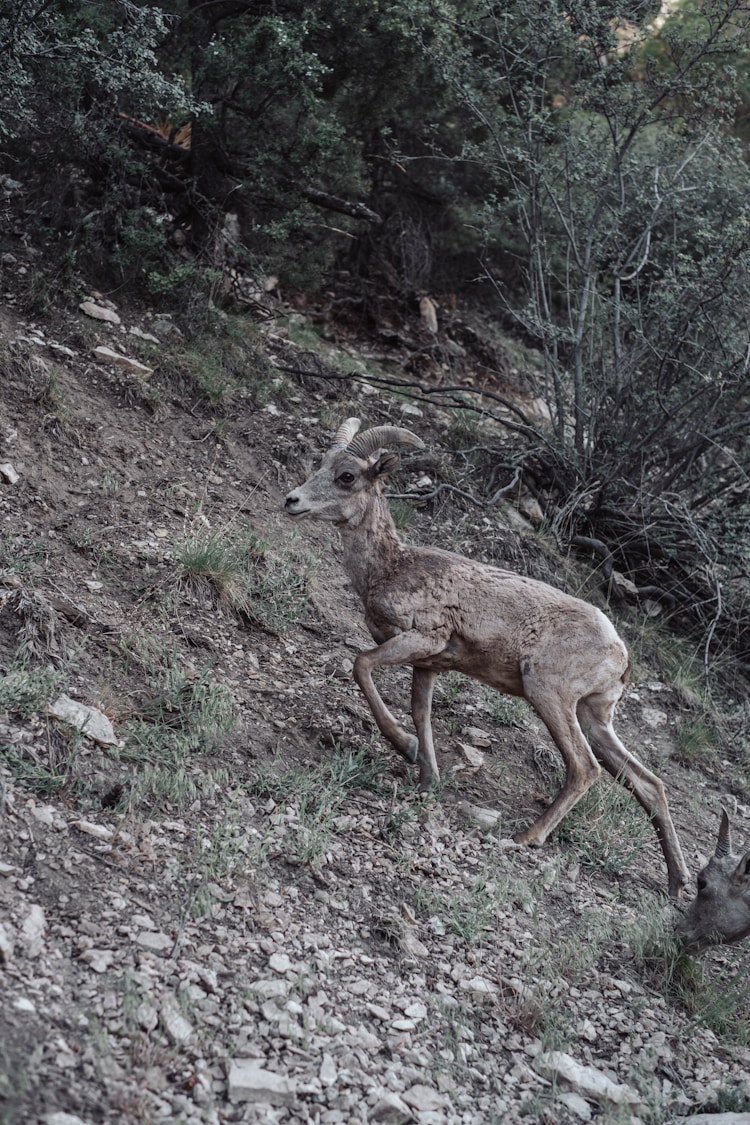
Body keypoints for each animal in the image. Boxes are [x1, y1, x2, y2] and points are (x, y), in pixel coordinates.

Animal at [283, 418, 692, 900]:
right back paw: (677, 881)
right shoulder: (428, 665)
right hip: (595, 716)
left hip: (548, 695)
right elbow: (421, 713)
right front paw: (428, 779)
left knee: (584, 768)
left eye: (347, 476)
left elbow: (361, 665)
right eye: (321, 464)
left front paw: (405, 747)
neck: (390, 568)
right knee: (649, 783)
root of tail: (621, 653)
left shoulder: (422, 639)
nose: (292, 501)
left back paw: (526, 837)